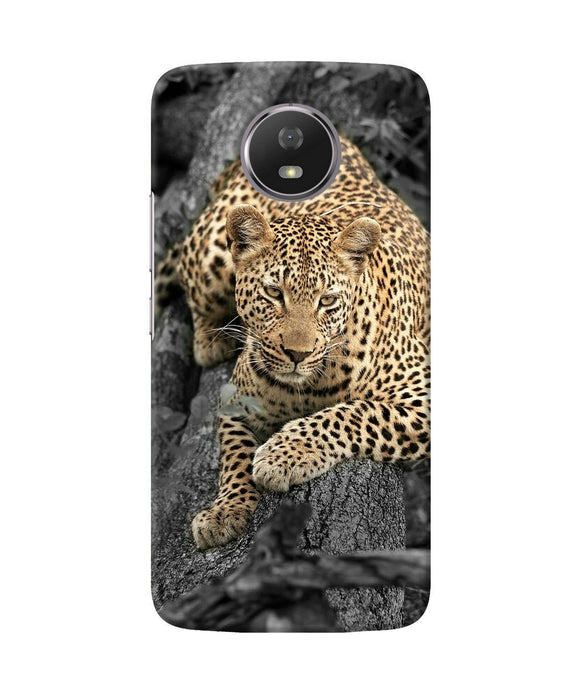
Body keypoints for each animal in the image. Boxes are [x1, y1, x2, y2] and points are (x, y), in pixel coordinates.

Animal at [156, 136, 430, 550]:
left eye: (327, 300)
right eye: (274, 293)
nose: (297, 354)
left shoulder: (423, 394)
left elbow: (354, 413)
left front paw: (282, 455)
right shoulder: (235, 401)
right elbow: (234, 455)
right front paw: (225, 510)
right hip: (211, 257)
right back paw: (211, 340)